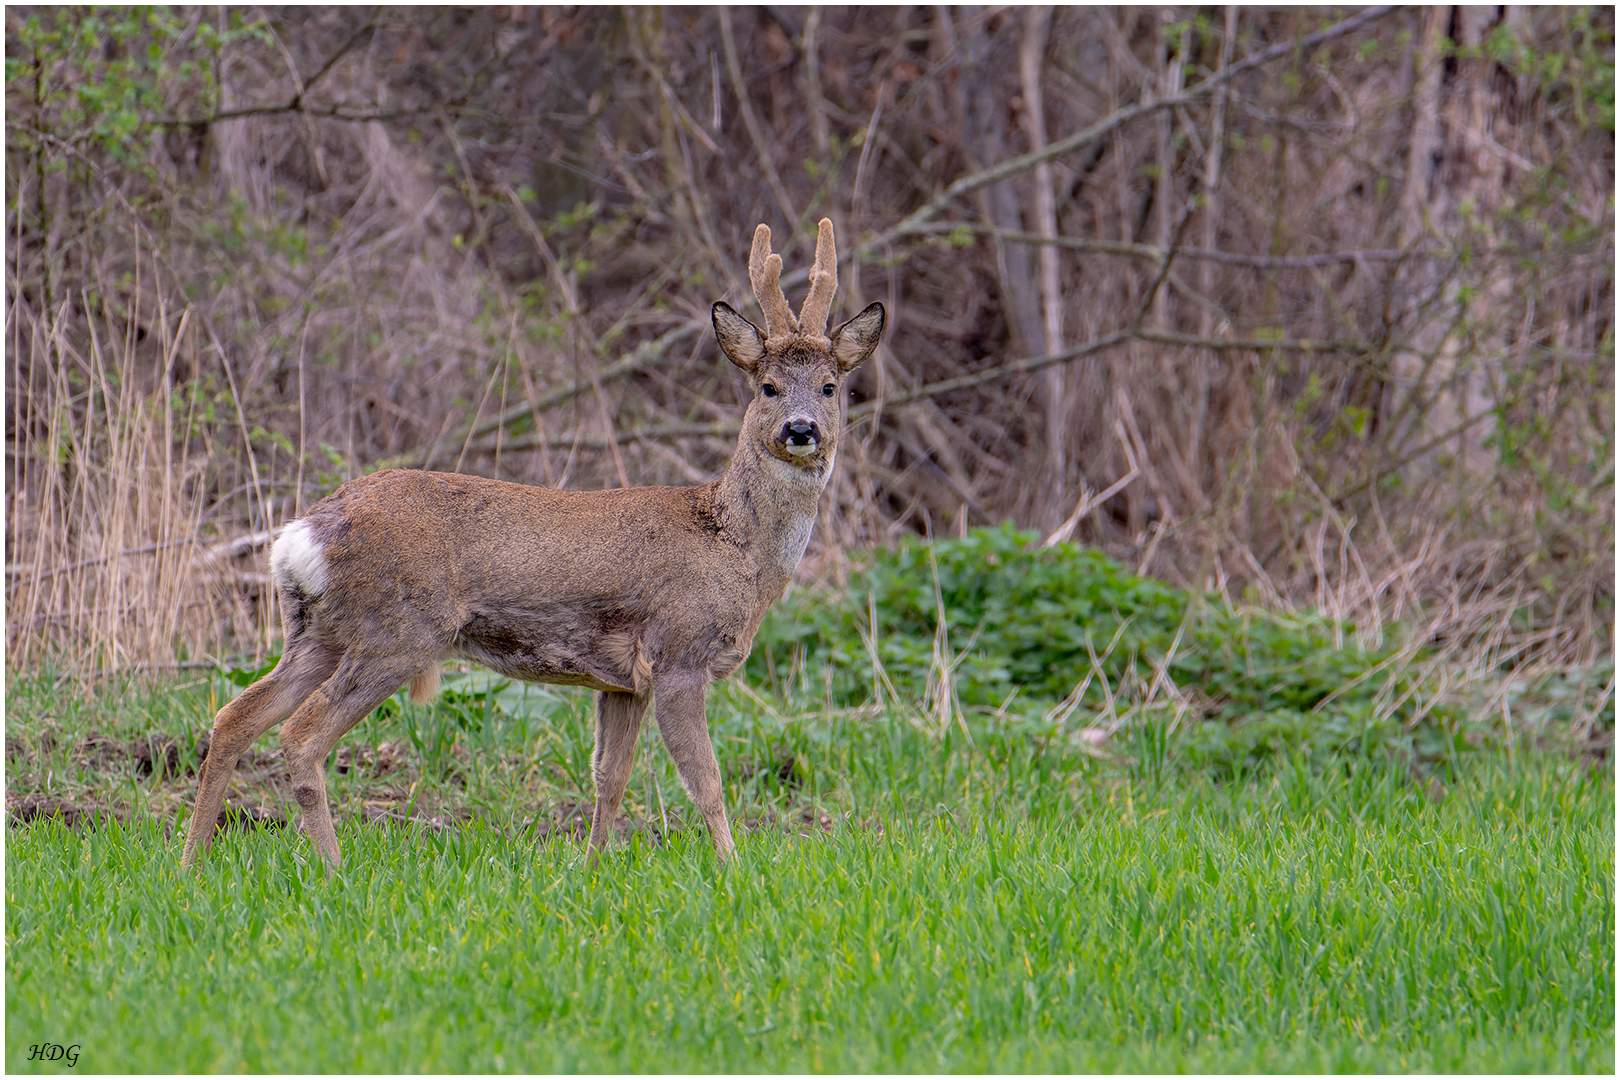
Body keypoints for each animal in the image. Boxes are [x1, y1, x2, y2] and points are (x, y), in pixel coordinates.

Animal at [183, 220, 887, 867]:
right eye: (767, 386)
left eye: (832, 386)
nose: (801, 429)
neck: (736, 547)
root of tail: (302, 536)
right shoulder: (679, 654)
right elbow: (706, 783)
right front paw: (734, 871)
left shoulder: (624, 681)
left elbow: (610, 777)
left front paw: (593, 867)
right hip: (397, 632)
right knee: (301, 735)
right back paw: (331, 870)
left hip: (318, 633)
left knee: (234, 716)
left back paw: (189, 863)